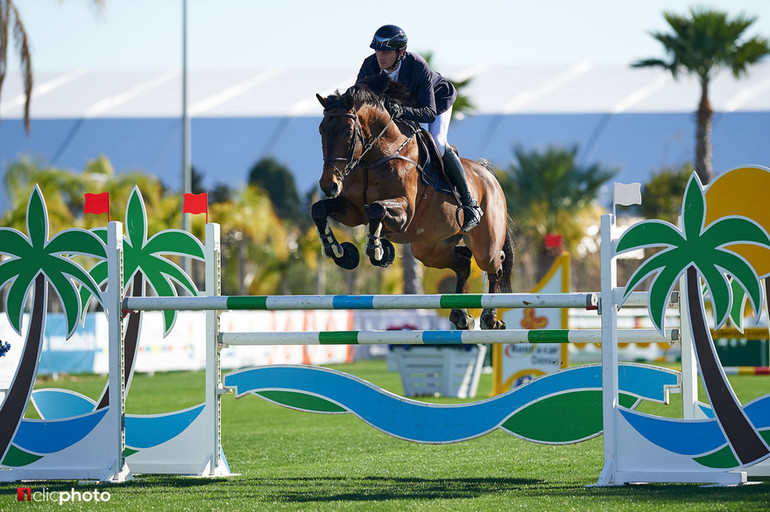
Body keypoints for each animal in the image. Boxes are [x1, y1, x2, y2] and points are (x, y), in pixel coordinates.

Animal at [308, 76, 512, 332]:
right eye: (321, 130)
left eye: (348, 132)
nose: (328, 185)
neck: (373, 158)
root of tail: (488, 174)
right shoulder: (353, 212)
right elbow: (319, 209)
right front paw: (340, 252)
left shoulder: (404, 213)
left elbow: (376, 209)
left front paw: (377, 250)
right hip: (428, 248)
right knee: (463, 263)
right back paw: (461, 316)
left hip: (485, 244)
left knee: (496, 265)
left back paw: (489, 318)